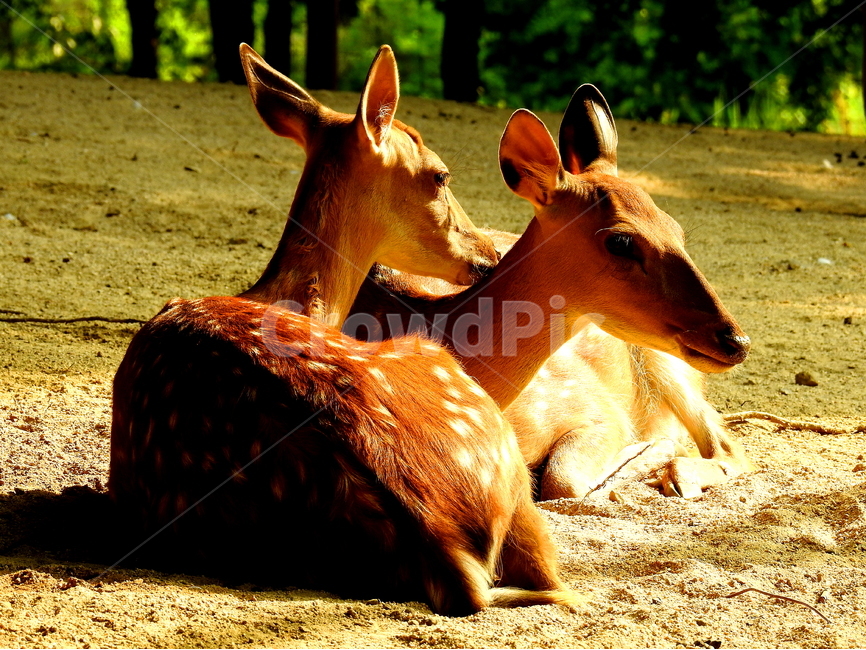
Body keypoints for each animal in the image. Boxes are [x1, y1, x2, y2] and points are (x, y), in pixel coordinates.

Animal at [350, 84, 753, 502]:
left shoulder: (595, 406)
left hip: (666, 364)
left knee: (726, 443)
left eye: (676, 228)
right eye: (621, 241)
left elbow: (564, 480)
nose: (736, 340)